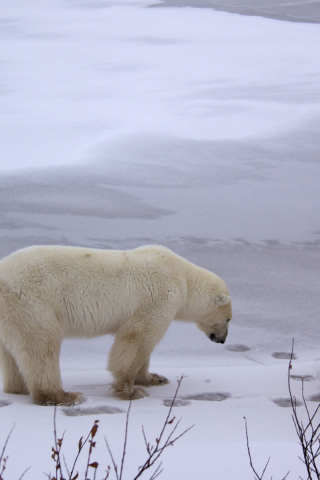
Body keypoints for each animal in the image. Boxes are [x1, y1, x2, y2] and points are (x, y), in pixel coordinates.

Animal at [0, 244, 231, 404]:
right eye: (228, 319)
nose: (222, 340)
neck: (182, 277)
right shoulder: (158, 298)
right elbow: (137, 339)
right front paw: (131, 391)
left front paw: (154, 378)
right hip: (33, 303)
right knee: (42, 347)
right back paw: (64, 396)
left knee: (12, 354)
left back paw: (18, 388)